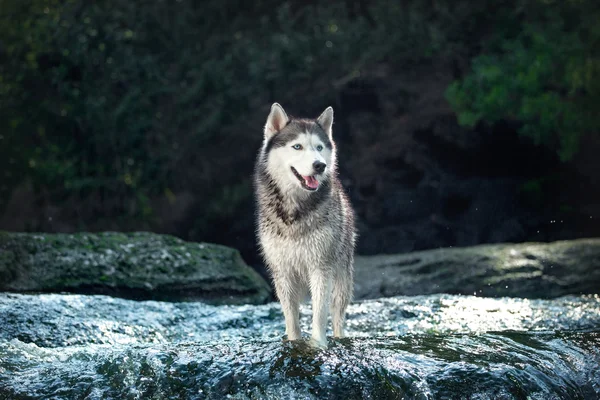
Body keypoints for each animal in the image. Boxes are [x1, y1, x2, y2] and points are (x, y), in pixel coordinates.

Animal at [254, 103, 356, 346]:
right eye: (297, 146)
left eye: (319, 147)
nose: (320, 165)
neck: (295, 212)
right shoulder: (282, 272)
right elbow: (291, 317)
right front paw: (294, 341)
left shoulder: (320, 268)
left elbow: (319, 313)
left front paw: (318, 344)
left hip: (341, 280)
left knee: (337, 316)